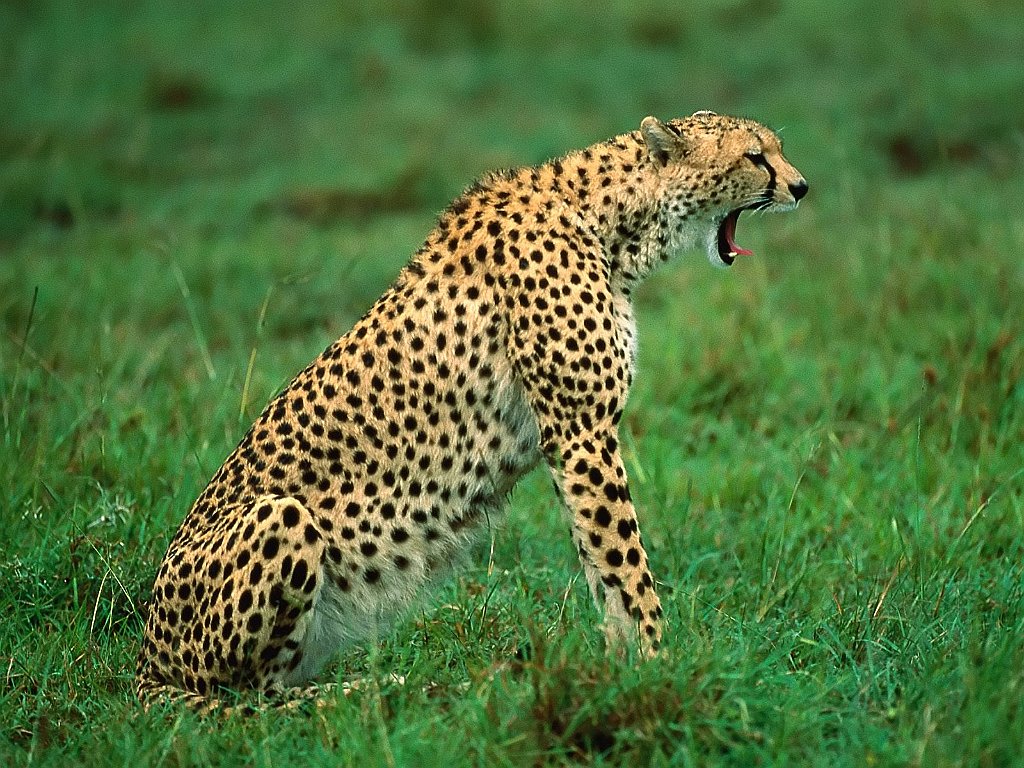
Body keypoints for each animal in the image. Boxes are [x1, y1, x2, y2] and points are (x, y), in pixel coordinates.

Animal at [138, 111, 806, 708]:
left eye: (776, 148)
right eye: (755, 156)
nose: (800, 186)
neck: (610, 220)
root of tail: (145, 657)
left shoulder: (574, 442)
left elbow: (600, 564)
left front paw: (623, 667)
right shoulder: (583, 432)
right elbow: (625, 564)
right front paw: (658, 663)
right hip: (280, 514)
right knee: (248, 695)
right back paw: (368, 693)